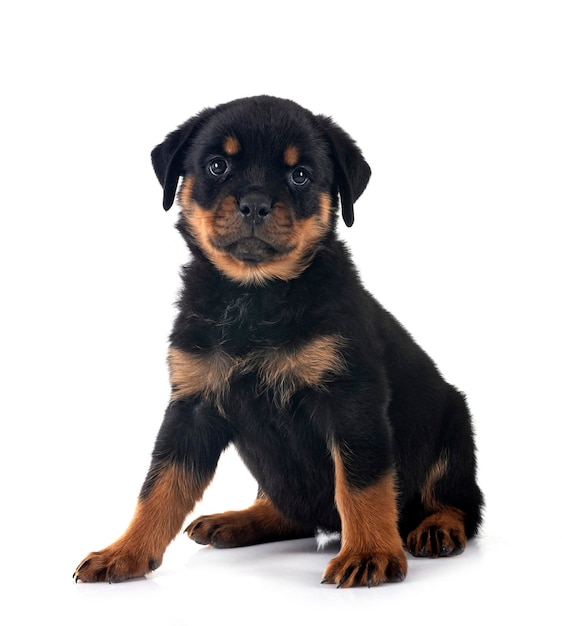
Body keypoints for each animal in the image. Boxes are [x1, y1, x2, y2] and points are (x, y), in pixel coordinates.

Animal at [73, 96, 482, 584]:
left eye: (299, 174)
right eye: (217, 166)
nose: (254, 203)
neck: (255, 296)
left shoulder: (351, 399)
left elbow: (362, 483)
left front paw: (369, 553)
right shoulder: (192, 404)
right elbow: (160, 485)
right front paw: (125, 551)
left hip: (455, 428)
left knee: (460, 502)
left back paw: (438, 527)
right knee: (289, 510)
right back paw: (239, 520)